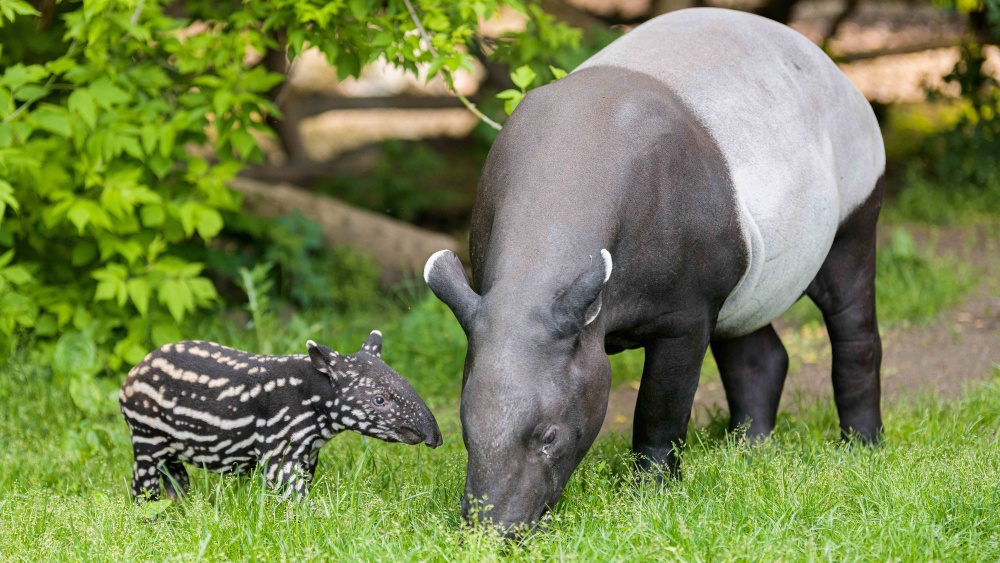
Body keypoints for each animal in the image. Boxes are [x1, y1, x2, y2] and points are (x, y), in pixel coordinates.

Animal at [121, 330, 442, 502]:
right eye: (379, 400)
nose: (435, 438)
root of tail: (133, 373)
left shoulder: (309, 453)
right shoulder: (280, 448)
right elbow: (292, 492)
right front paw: (311, 521)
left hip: (171, 444)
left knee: (175, 477)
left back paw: (181, 506)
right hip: (146, 435)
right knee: (144, 484)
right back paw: (149, 518)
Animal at [426, 7, 888, 532]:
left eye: (549, 436)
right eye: (465, 430)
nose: (494, 530)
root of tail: (832, 66)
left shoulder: (686, 313)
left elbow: (661, 407)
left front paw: (650, 493)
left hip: (855, 200)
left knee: (852, 321)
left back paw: (860, 447)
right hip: (744, 270)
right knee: (756, 351)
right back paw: (747, 451)